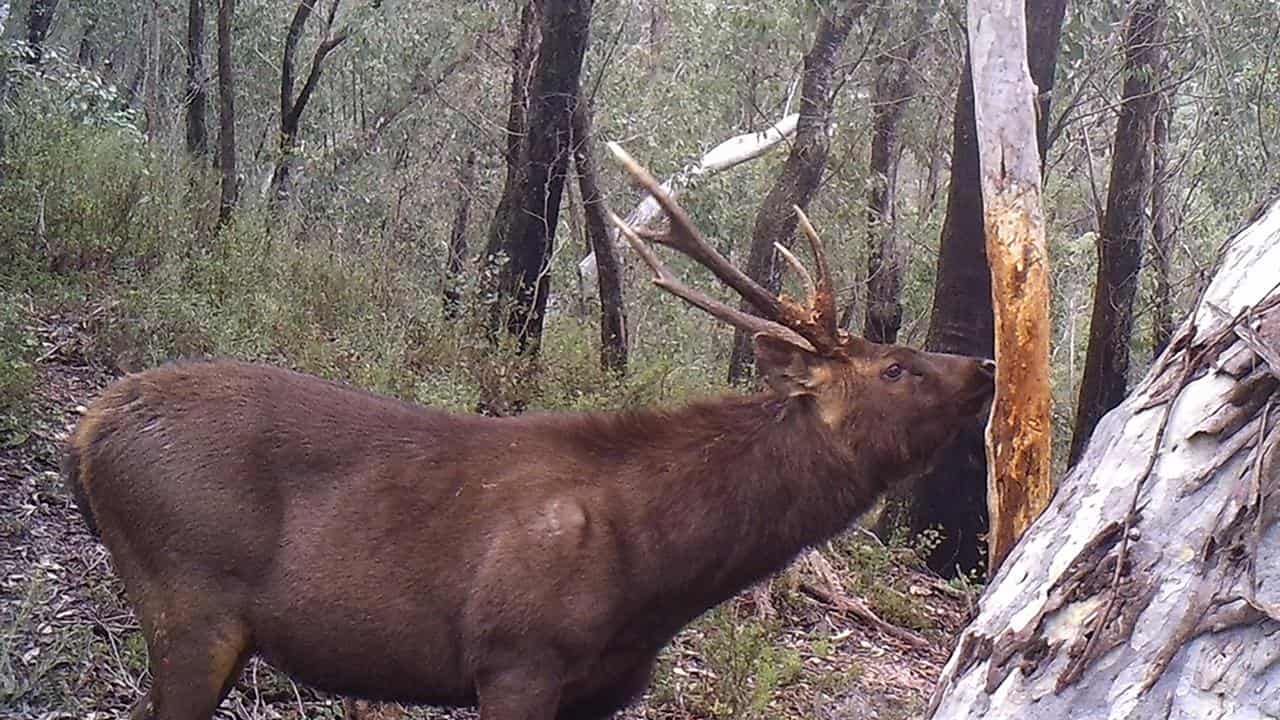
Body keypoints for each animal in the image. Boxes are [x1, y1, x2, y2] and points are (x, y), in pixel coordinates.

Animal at [62, 144, 998, 717]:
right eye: (896, 367)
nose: (985, 366)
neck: (659, 575)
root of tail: (88, 429)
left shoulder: (602, 691)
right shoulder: (517, 657)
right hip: (189, 595)